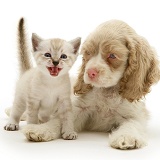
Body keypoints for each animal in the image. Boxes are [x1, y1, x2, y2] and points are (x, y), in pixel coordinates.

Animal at [21, 19, 159, 150]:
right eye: (88, 53)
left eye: (112, 55)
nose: (90, 72)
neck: (107, 91)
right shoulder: (79, 108)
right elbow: (59, 120)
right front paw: (40, 130)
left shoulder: (133, 114)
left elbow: (132, 125)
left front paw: (126, 137)